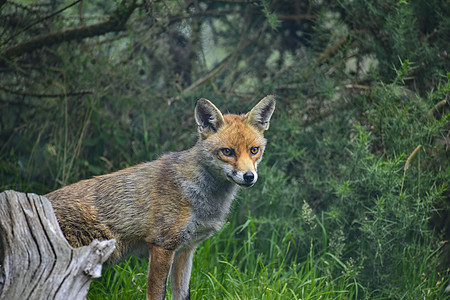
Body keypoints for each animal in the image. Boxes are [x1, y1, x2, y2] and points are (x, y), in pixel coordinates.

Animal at [45, 95, 274, 298]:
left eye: (254, 150)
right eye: (227, 152)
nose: (249, 176)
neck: (198, 196)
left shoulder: (186, 249)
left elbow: (182, 294)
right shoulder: (162, 246)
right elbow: (157, 294)